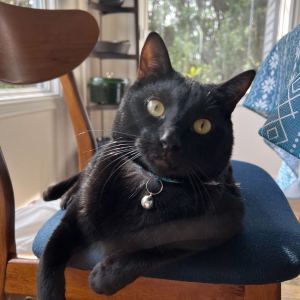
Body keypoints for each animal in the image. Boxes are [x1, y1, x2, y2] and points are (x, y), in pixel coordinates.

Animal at [36, 31, 254, 298]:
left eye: (203, 125)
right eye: (155, 106)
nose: (169, 141)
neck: (149, 184)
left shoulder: (225, 221)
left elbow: (164, 244)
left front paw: (105, 276)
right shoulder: (72, 220)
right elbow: (50, 258)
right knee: (82, 175)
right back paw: (59, 192)